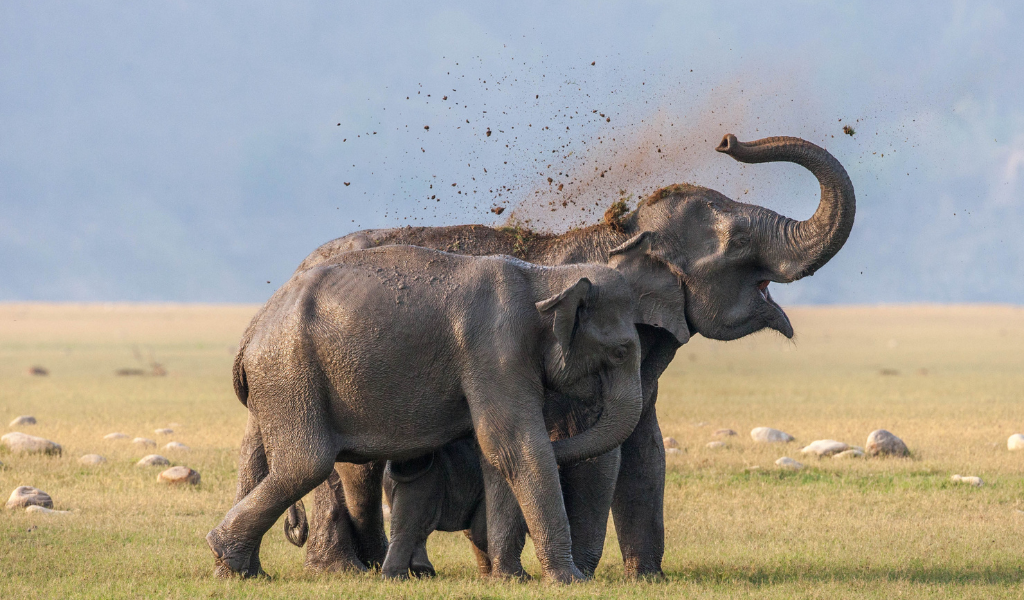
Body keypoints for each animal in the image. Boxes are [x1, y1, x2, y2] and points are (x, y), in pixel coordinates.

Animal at [209, 243, 671, 583]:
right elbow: (514, 444)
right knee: (306, 463)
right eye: (621, 351)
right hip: (289, 373)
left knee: (265, 460)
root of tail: (252, 327)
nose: (580, 575)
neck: (546, 277)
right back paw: (226, 556)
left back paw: (240, 572)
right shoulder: (496, 349)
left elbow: (496, 454)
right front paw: (567, 581)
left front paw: (511, 579)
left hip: (277, 383)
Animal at [283, 134, 857, 578]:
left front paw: (648, 578)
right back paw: (343, 571)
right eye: (737, 243)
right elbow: (600, 450)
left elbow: (645, 448)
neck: (622, 231)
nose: (726, 140)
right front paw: (583, 572)